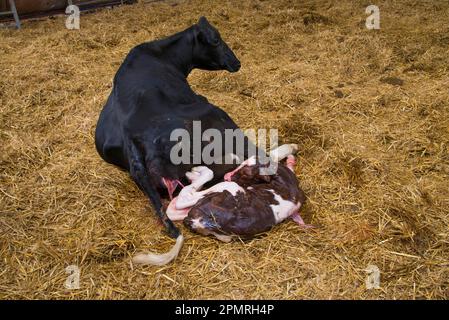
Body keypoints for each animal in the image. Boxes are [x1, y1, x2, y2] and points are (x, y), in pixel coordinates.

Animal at [133, 143, 308, 264]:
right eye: (243, 165)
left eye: (246, 173)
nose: (228, 176)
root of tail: (202, 221)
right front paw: (291, 154)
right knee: (174, 209)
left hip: (226, 188)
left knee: (183, 198)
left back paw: (195, 173)